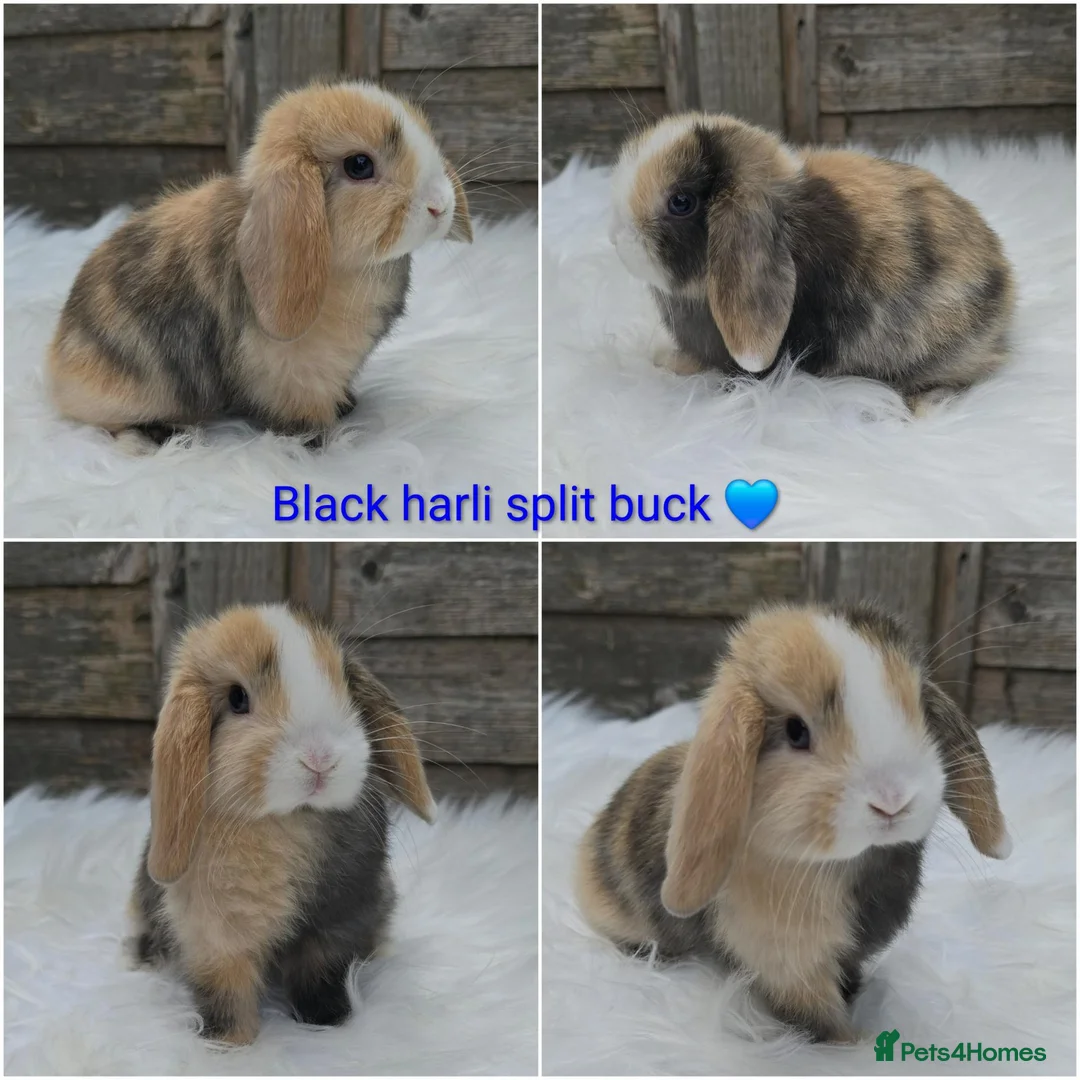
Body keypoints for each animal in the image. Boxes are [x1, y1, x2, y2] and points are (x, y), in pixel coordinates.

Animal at [47, 81, 472, 446]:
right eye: (359, 165)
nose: (440, 205)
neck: (344, 267)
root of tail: (57, 360)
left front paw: (347, 406)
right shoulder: (295, 372)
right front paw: (320, 440)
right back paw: (160, 436)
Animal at [127, 602, 436, 1045]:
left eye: (344, 682)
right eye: (237, 699)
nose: (320, 758)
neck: (286, 821)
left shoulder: (337, 921)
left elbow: (322, 974)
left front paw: (328, 1024)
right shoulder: (215, 934)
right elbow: (226, 991)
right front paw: (229, 1042)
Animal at [576, 602, 1011, 1043]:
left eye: (921, 709)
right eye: (795, 731)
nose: (893, 801)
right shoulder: (792, 968)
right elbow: (821, 1019)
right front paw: (855, 1045)